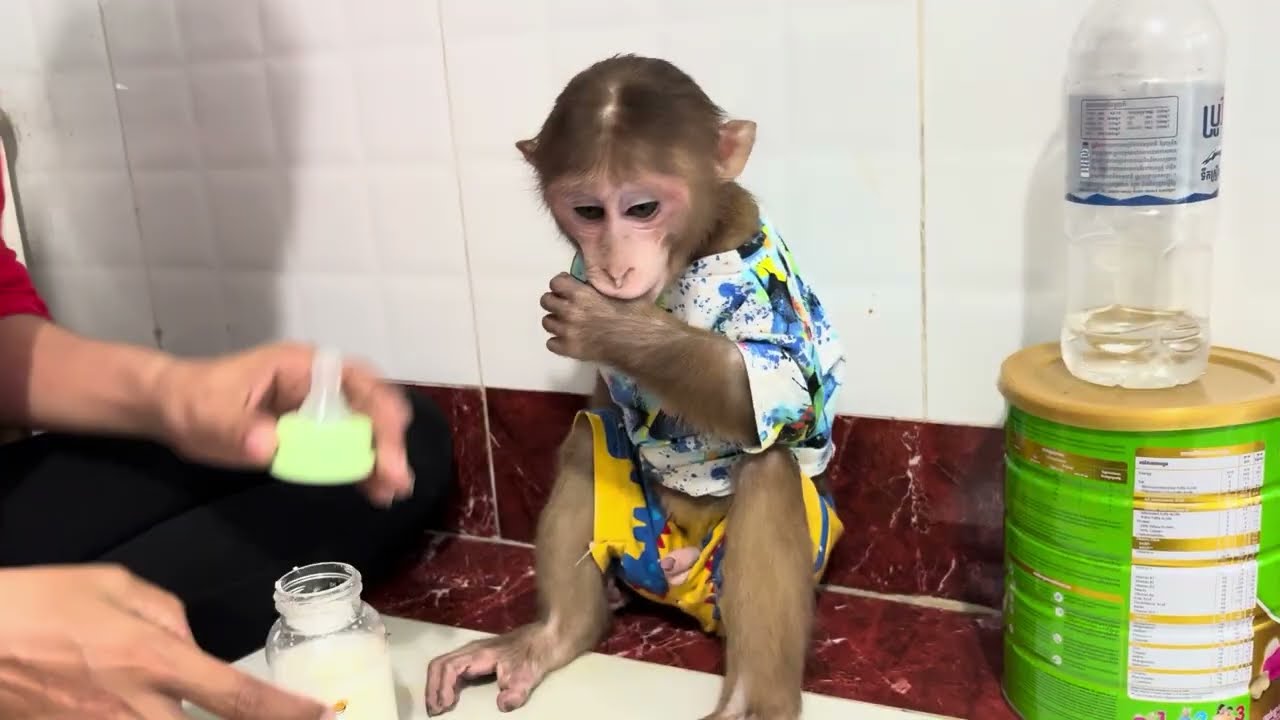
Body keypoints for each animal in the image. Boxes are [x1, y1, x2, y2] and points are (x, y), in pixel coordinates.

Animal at [425, 55, 847, 720]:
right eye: (590, 213)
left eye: (643, 208)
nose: (614, 267)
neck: (695, 253)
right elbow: (603, 403)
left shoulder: (764, 283)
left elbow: (776, 388)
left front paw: (613, 327)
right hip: (642, 544)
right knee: (586, 440)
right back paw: (555, 635)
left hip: (768, 557)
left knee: (769, 467)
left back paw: (755, 698)